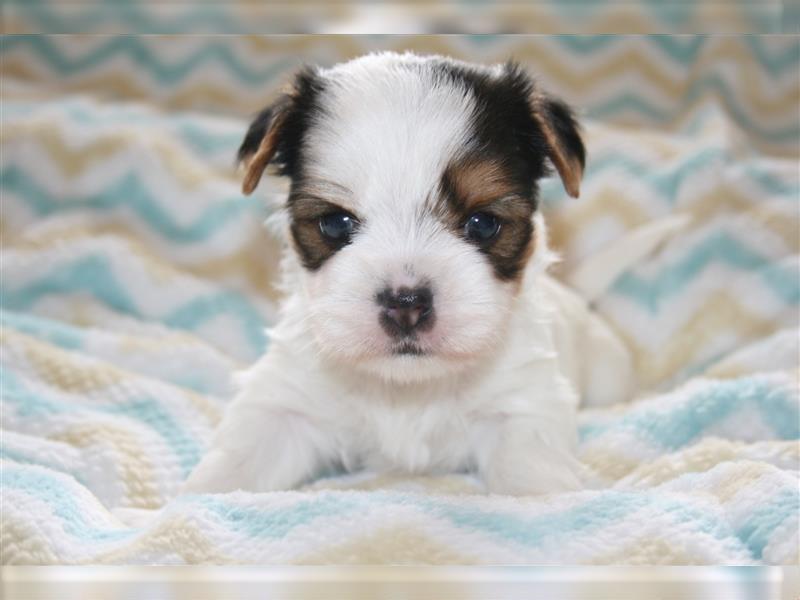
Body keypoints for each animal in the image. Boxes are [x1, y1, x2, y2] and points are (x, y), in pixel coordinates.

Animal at [184, 51, 636, 494]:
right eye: (335, 224)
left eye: (483, 223)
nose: (406, 303)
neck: (407, 390)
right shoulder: (286, 401)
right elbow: (241, 460)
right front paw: (200, 496)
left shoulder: (524, 403)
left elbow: (532, 473)